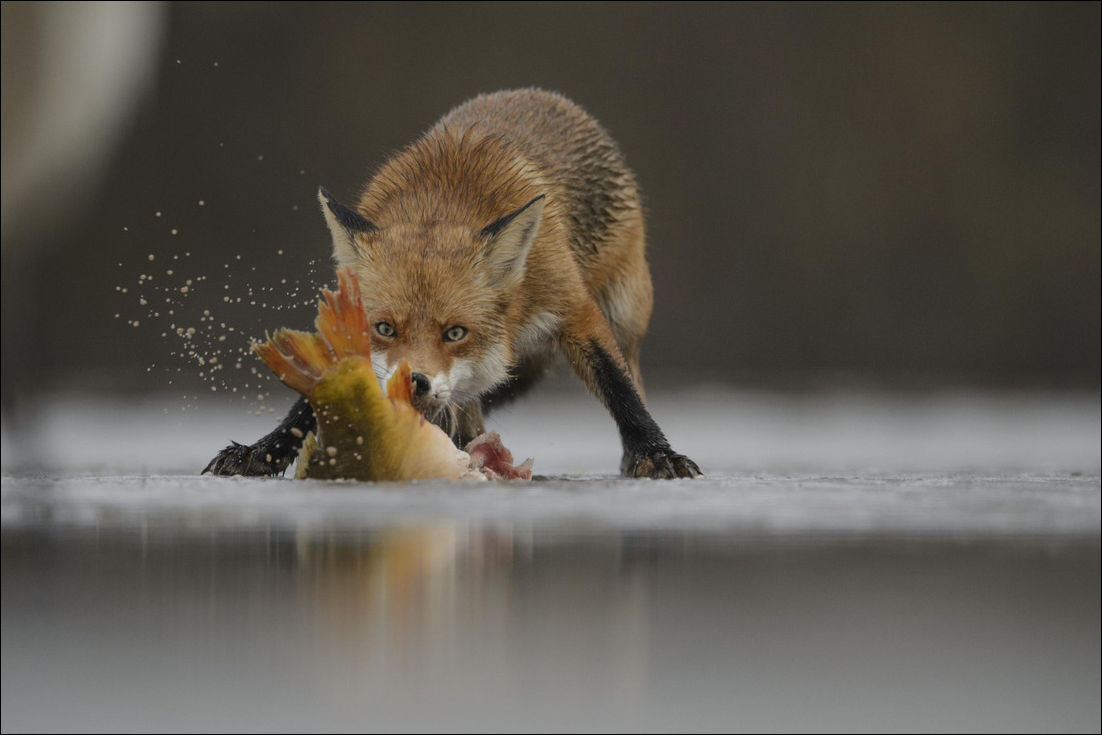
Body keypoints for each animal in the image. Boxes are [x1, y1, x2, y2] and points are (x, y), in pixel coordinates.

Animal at [203, 87, 700, 478]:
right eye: (385, 328)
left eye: (455, 332)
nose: (415, 381)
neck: (442, 201)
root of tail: (542, 95)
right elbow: (318, 394)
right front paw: (262, 450)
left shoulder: (571, 307)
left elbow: (619, 390)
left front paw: (657, 454)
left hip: (624, 316)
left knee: (630, 375)